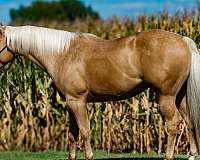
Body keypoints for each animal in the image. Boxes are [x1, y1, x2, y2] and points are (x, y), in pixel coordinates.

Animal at [0, 24, 198, 159]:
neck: (62, 54)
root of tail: (183, 40)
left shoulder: (77, 101)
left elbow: (85, 130)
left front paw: (89, 156)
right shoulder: (70, 103)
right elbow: (73, 134)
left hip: (166, 97)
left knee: (173, 124)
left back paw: (168, 156)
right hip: (180, 97)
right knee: (190, 121)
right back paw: (192, 154)